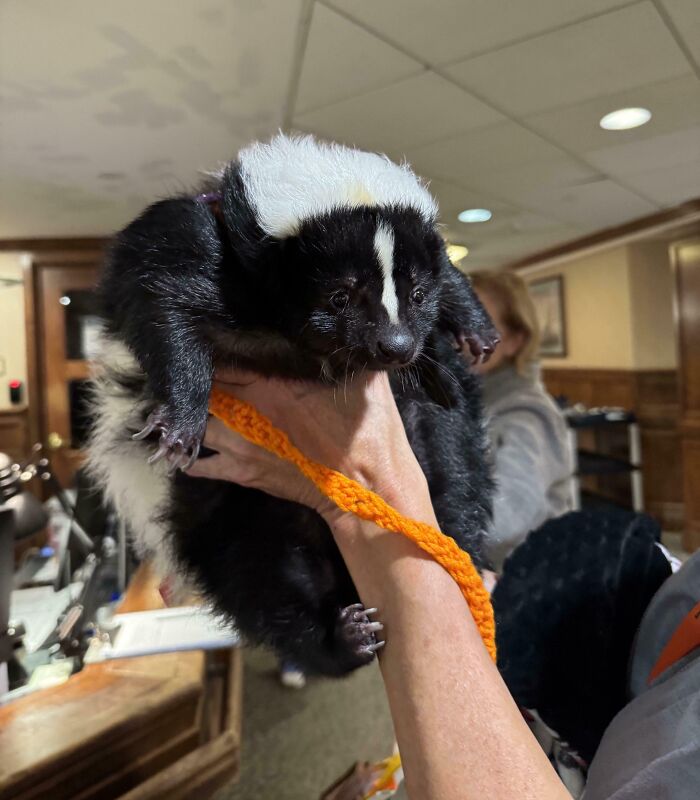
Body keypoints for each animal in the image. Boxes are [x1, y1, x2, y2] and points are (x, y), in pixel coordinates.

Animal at [89, 133, 498, 676]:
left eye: (416, 293)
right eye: (340, 296)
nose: (396, 346)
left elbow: (447, 271)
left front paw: (474, 326)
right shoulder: (196, 244)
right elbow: (162, 300)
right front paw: (180, 421)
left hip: (434, 445)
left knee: (454, 476)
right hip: (236, 516)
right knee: (261, 586)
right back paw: (344, 637)